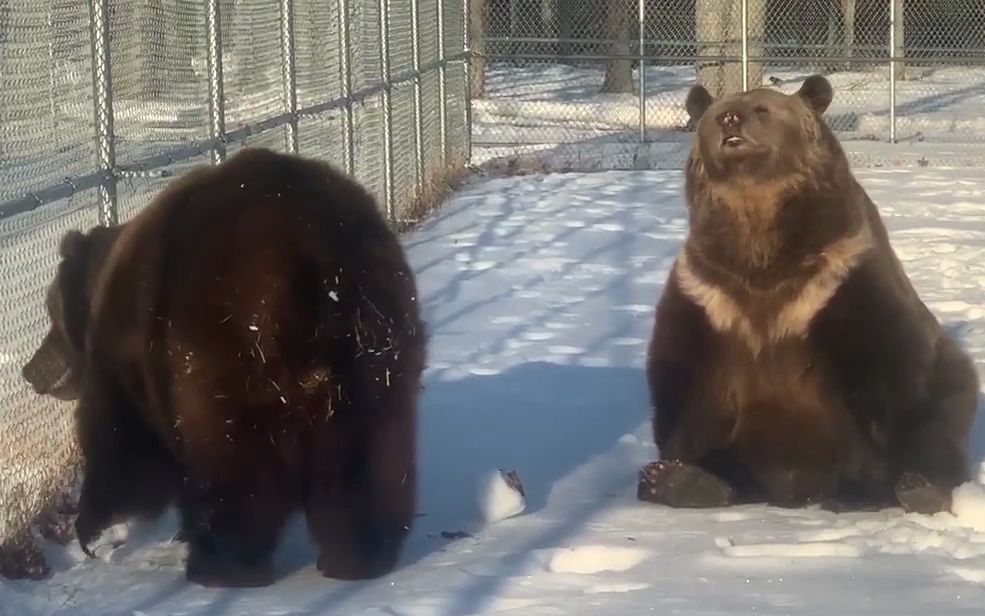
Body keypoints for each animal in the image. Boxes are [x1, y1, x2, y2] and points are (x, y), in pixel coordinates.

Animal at [20, 147, 426, 588]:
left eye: (51, 312)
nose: (30, 369)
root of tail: (309, 264)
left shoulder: (126, 355)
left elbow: (120, 439)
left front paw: (91, 528)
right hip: (372, 354)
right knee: (364, 464)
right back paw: (360, 556)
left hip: (222, 353)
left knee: (232, 472)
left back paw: (220, 564)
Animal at [640, 76, 976, 516]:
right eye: (716, 114)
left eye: (763, 109)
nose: (731, 120)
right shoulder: (709, 291)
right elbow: (683, 377)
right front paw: (675, 471)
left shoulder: (838, 277)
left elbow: (885, 363)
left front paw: (887, 482)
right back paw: (686, 482)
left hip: (949, 380)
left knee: (939, 421)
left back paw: (911, 486)